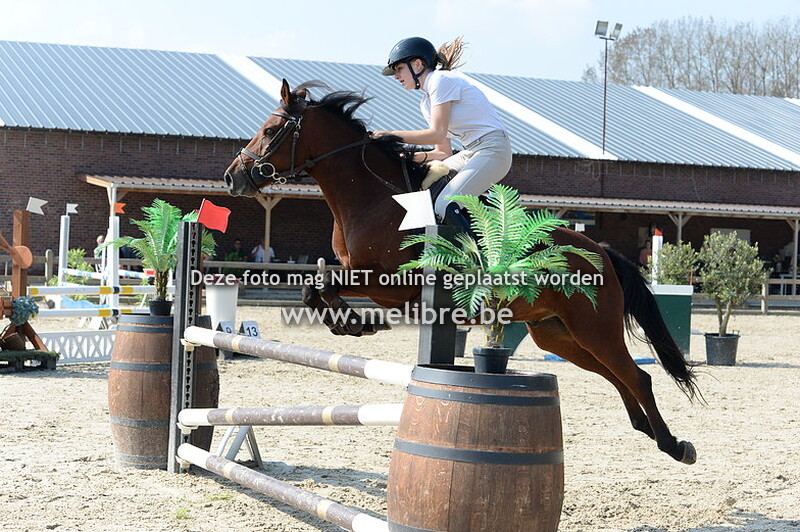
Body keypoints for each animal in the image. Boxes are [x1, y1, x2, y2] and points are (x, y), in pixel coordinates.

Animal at [223, 79, 700, 465]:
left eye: (271, 131)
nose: (232, 178)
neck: (375, 198)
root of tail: (598, 248)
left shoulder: (394, 284)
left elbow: (322, 285)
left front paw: (359, 325)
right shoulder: (365, 275)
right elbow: (314, 288)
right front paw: (353, 324)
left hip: (594, 327)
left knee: (635, 374)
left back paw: (674, 445)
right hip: (558, 334)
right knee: (615, 375)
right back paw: (647, 429)